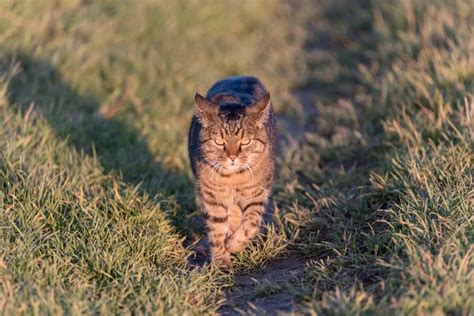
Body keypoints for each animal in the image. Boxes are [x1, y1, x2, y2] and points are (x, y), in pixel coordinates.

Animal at [188, 76, 278, 266]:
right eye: (219, 141)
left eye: (245, 141)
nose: (232, 156)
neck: (232, 177)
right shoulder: (212, 197)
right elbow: (216, 230)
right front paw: (221, 260)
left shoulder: (256, 195)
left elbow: (251, 224)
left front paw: (234, 244)